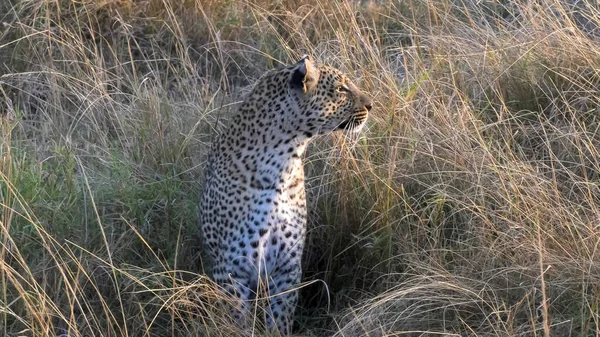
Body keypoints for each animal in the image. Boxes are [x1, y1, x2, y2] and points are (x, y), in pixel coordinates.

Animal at [199, 54, 372, 334]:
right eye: (342, 89)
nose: (371, 105)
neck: (282, 165)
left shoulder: (287, 266)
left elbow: (281, 317)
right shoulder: (232, 269)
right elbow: (237, 320)